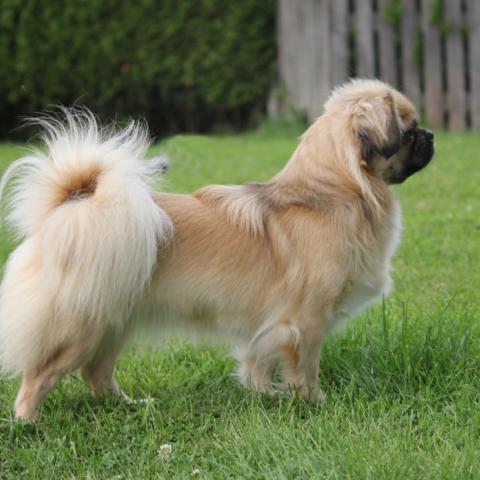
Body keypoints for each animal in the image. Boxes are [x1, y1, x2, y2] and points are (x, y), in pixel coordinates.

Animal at [0, 79, 436, 420]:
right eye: (409, 130)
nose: (431, 136)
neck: (328, 196)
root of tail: (65, 211)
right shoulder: (304, 324)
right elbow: (305, 371)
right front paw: (314, 403)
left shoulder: (269, 327)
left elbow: (259, 366)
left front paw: (266, 397)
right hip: (79, 326)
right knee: (38, 376)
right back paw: (28, 423)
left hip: (112, 321)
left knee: (96, 374)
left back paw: (130, 406)